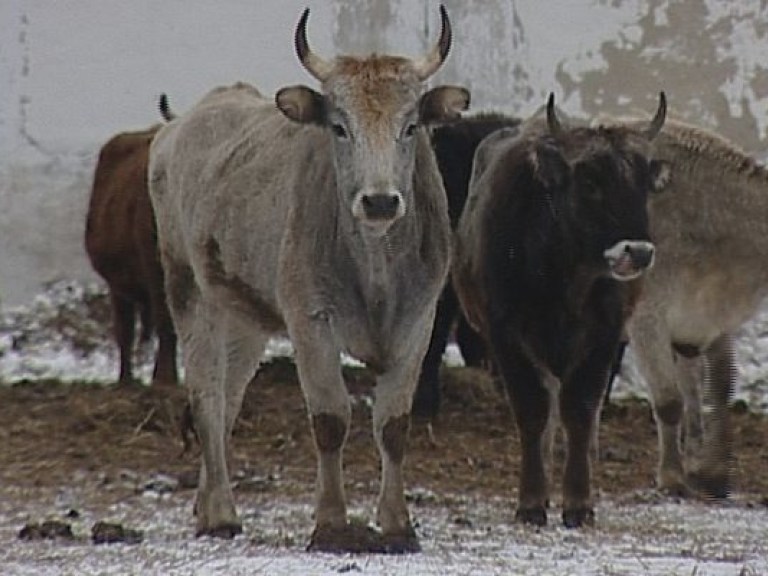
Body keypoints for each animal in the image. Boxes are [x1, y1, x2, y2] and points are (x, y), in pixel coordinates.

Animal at [83, 124, 178, 390]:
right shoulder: (156, 270)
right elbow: (165, 319)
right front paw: (165, 378)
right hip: (118, 283)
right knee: (125, 330)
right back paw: (126, 378)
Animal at [145, 6, 468, 552]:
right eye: (338, 127)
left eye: (410, 126)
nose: (380, 201)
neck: (375, 267)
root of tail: (180, 125)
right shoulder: (309, 320)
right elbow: (331, 419)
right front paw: (332, 523)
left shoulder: (418, 322)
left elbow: (394, 425)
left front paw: (397, 523)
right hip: (188, 291)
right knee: (207, 398)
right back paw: (221, 513)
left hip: (245, 316)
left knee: (229, 401)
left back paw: (206, 502)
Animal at [452, 93, 664, 528]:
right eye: (590, 183)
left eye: (642, 185)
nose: (637, 251)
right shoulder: (505, 336)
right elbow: (533, 410)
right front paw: (532, 501)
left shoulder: (605, 336)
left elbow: (581, 410)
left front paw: (579, 502)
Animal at [604, 118, 768, 500]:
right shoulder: (647, 320)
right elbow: (669, 399)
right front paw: (673, 477)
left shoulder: (707, 323)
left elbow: (713, 387)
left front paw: (708, 472)